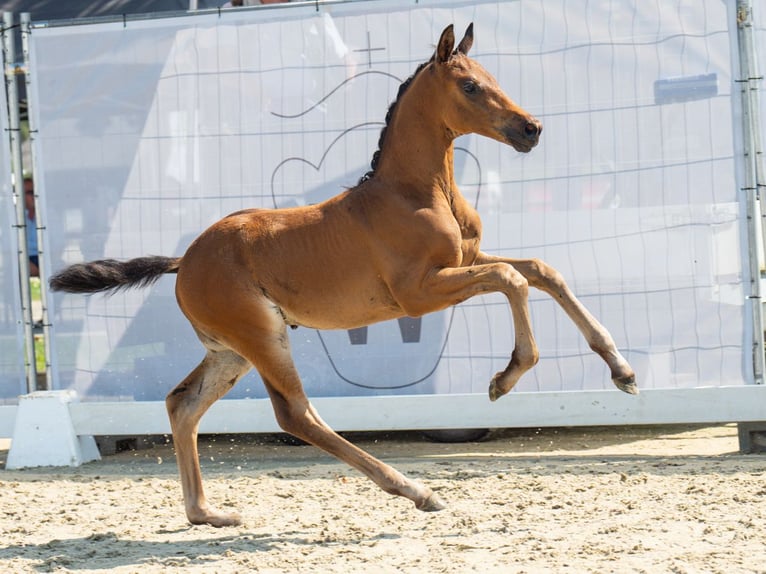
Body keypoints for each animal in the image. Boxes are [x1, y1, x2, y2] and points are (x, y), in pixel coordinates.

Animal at [48, 27, 636, 532]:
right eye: (470, 85)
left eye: (493, 76)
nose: (531, 129)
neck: (416, 192)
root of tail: (184, 261)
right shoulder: (418, 293)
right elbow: (511, 278)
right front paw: (507, 376)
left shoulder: (463, 260)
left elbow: (540, 270)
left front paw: (622, 371)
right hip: (263, 337)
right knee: (296, 415)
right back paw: (416, 490)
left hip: (230, 350)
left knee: (182, 404)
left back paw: (206, 513)